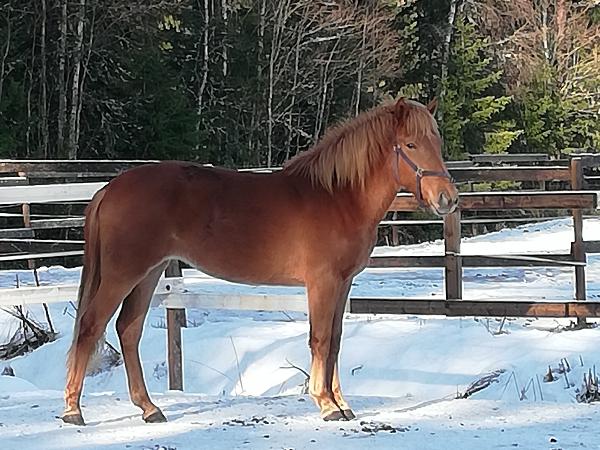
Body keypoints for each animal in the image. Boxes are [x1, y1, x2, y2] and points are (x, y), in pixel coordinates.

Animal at [62, 97, 458, 426]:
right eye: (411, 145)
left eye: (437, 144)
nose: (448, 199)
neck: (337, 197)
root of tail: (109, 189)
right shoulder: (322, 281)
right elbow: (320, 339)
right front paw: (325, 404)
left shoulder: (343, 282)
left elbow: (336, 339)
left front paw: (342, 404)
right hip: (123, 273)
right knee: (91, 325)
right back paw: (73, 410)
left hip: (150, 272)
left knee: (128, 329)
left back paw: (149, 408)